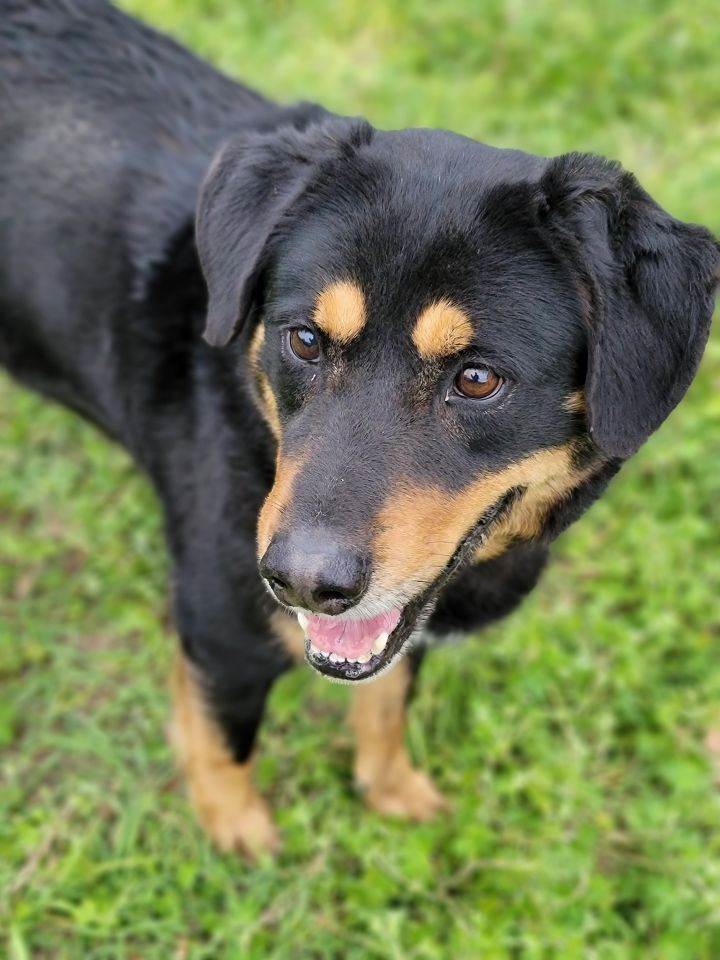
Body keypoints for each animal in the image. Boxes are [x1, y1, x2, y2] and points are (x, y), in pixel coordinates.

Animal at [1, 0, 720, 856]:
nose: (302, 581)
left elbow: (385, 700)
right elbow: (224, 740)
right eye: (305, 339)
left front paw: (390, 788)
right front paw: (237, 832)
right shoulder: (218, 631)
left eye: (478, 379)